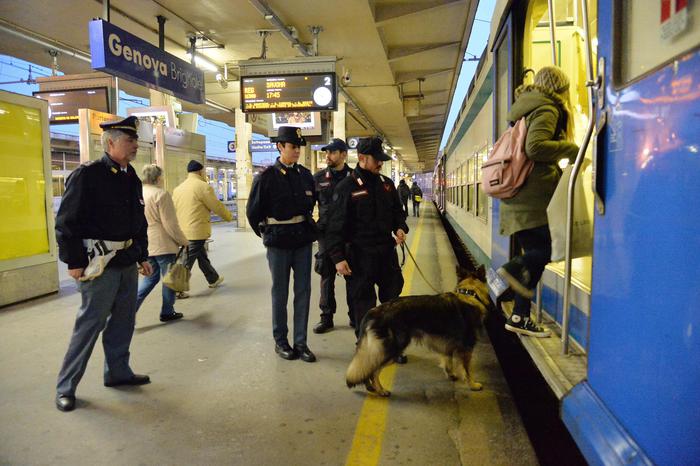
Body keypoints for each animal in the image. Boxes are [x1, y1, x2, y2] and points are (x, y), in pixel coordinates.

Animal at [346, 266, 492, 396]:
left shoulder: (448, 345)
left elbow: (448, 361)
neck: (469, 293)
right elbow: (467, 370)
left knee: (368, 368)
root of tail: (374, 311)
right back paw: (381, 391)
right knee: (373, 371)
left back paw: (371, 388)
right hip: (393, 348)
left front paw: (451, 375)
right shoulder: (467, 347)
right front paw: (473, 384)